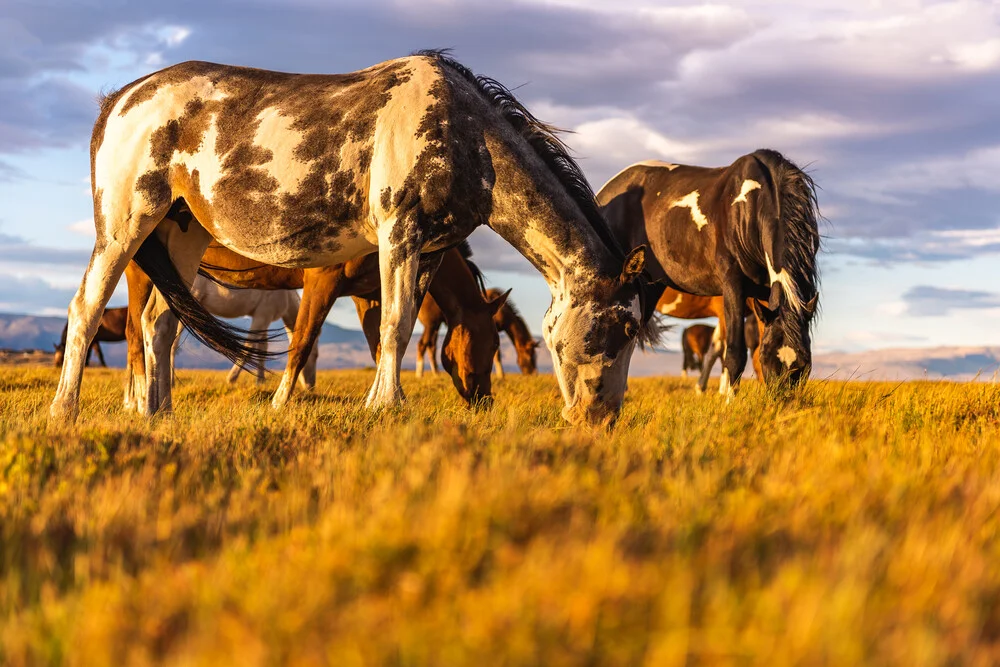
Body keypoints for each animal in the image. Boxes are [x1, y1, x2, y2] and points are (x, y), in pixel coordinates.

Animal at [600, 151, 820, 400]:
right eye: (767, 359)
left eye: (804, 364)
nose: (781, 402)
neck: (751, 205)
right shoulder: (733, 288)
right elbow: (732, 352)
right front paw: (727, 400)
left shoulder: (765, 297)